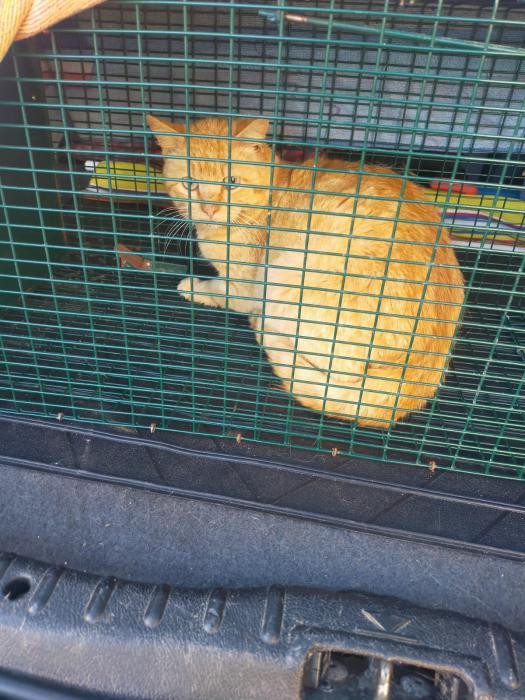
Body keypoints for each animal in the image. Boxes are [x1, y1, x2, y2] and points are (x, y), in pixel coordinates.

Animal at [148, 114, 465, 428]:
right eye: (190, 184)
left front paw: (193, 286)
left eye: (231, 182)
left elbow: (216, 290)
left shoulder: (244, 288)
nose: (209, 209)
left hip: (283, 281)